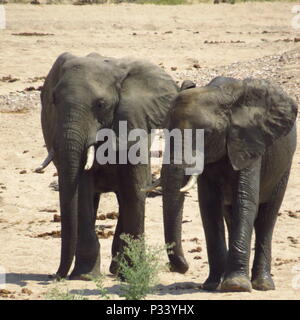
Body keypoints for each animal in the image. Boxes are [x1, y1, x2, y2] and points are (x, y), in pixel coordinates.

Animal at [38, 52, 179, 280]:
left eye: (100, 104)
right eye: (54, 100)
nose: (55, 276)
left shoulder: (133, 123)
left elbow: (134, 189)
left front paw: (132, 274)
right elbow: (82, 192)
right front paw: (85, 276)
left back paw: (118, 269)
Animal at [146, 76, 296, 292]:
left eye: (207, 134)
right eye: (166, 133)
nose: (182, 268)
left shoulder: (248, 142)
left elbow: (244, 200)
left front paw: (236, 286)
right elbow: (209, 205)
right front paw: (212, 284)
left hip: (284, 167)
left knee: (267, 218)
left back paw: (263, 284)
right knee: (231, 215)